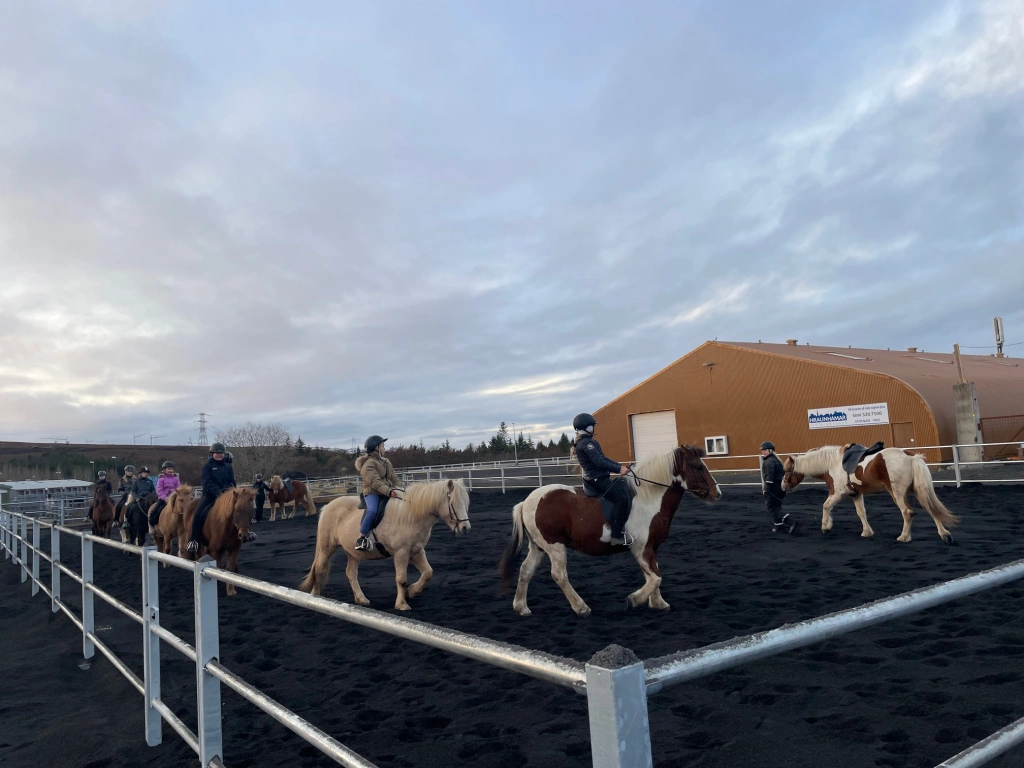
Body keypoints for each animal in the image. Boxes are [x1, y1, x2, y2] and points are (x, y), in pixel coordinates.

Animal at [298, 478, 471, 610]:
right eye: (454, 503)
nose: (465, 528)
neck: (411, 515)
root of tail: (328, 506)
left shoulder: (416, 551)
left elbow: (428, 572)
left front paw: (412, 592)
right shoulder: (401, 553)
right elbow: (401, 579)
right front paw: (402, 604)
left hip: (353, 553)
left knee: (351, 573)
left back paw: (361, 599)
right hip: (326, 548)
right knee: (320, 569)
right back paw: (316, 597)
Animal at [498, 444, 721, 616]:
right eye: (698, 466)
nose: (716, 493)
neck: (649, 499)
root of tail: (526, 502)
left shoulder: (650, 547)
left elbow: (653, 575)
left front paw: (658, 603)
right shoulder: (641, 548)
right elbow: (656, 578)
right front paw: (634, 600)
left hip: (538, 547)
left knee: (526, 570)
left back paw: (521, 608)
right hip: (555, 547)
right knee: (559, 575)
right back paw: (581, 608)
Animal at [781, 445, 958, 544]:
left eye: (788, 470)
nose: (783, 485)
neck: (832, 464)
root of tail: (910, 456)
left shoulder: (838, 493)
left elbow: (825, 506)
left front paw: (826, 526)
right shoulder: (855, 494)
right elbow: (861, 513)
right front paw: (867, 532)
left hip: (898, 494)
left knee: (907, 512)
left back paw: (904, 537)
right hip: (918, 491)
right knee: (932, 509)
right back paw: (945, 535)